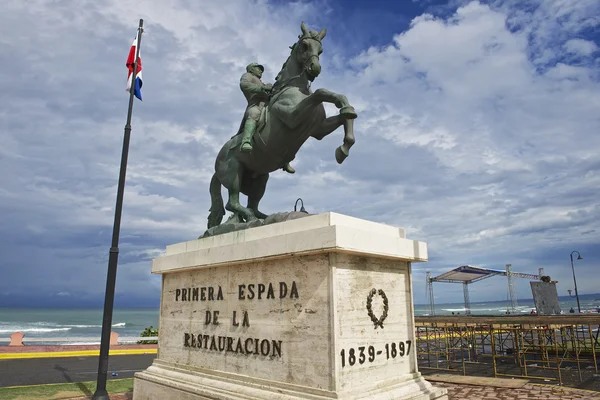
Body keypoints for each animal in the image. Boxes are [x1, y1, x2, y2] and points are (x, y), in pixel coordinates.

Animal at [206, 21, 356, 228]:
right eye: (304, 46)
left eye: (321, 49)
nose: (315, 68)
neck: (294, 88)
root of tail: (217, 161)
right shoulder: (293, 116)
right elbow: (320, 92)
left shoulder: (319, 129)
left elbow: (340, 111)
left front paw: (344, 145)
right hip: (233, 171)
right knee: (232, 202)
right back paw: (251, 218)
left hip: (260, 178)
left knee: (251, 204)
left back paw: (265, 216)